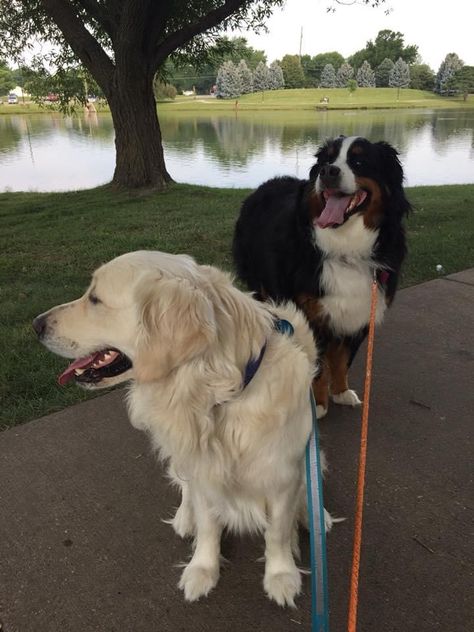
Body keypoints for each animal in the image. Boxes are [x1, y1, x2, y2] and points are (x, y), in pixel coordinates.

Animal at [33, 251, 332, 608]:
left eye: (95, 299)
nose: (36, 325)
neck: (214, 397)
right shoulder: (202, 472)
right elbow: (208, 526)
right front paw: (202, 570)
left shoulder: (283, 477)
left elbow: (277, 532)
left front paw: (281, 575)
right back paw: (185, 517)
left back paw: (316, 514)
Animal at [233, 136, 412, 418]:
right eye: (326, 161)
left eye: (359, 161)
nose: (328, 172)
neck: (345, 249)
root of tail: (267, 184)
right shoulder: (309, 314)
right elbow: (317, 365)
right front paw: (316, 404)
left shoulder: (360, 312)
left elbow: (341, 359)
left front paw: (340, 391)